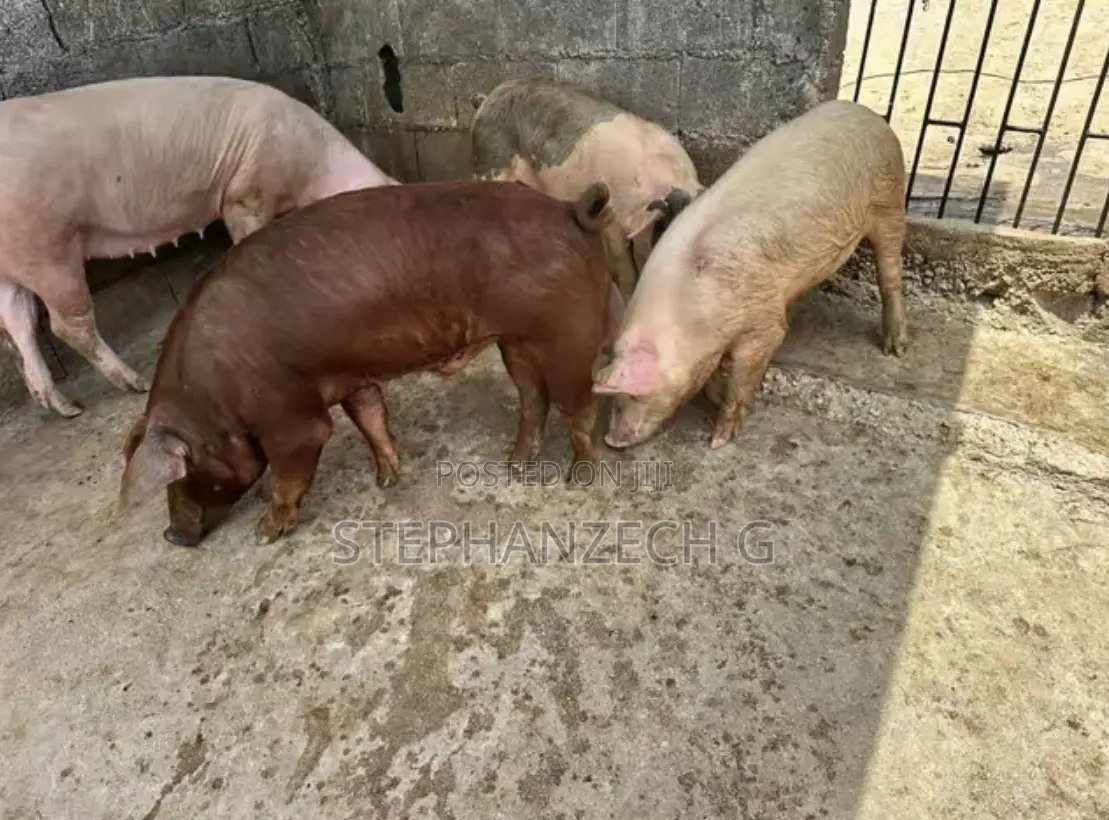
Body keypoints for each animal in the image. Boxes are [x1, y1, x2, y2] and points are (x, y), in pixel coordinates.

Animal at [0, 75, 397, 420]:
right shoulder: (245, 194)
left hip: (16, 263)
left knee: (19, 326)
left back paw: (66, 408)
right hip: (48, 249)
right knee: (66, 325)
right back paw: (137, 384)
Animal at [117, 180, 626, 547]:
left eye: (184, 474)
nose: (172, 535)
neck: (213, 398)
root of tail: (569, 209)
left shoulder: (289, 414)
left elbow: (295, 463)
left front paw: (265, 532)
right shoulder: (349, 377)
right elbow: (370, 418)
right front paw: (387, 479)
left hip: (568, 336)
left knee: (580, 404)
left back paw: (578, 480)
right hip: (517, 341)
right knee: (532, 395)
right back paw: (515, 466)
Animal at [592, 99, 910, 450]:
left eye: (633, 394)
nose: (610, 439)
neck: (692, 311)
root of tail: (869, 115)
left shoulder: (761, 321)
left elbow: (748, 370)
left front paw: (718, 439)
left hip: (889, 199)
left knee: (890, 271)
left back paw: (895, 349)